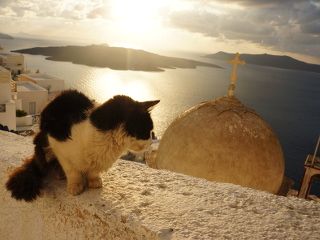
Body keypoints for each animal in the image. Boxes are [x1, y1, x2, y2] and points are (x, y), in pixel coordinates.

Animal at [5, 89, 159, 202]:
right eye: (147, 131)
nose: (151, 143)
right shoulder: (58, 144)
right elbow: (72, 170)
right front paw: (75, 185)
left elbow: (93, 171)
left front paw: (93, 180)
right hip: (42, 144)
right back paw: (59, 173)